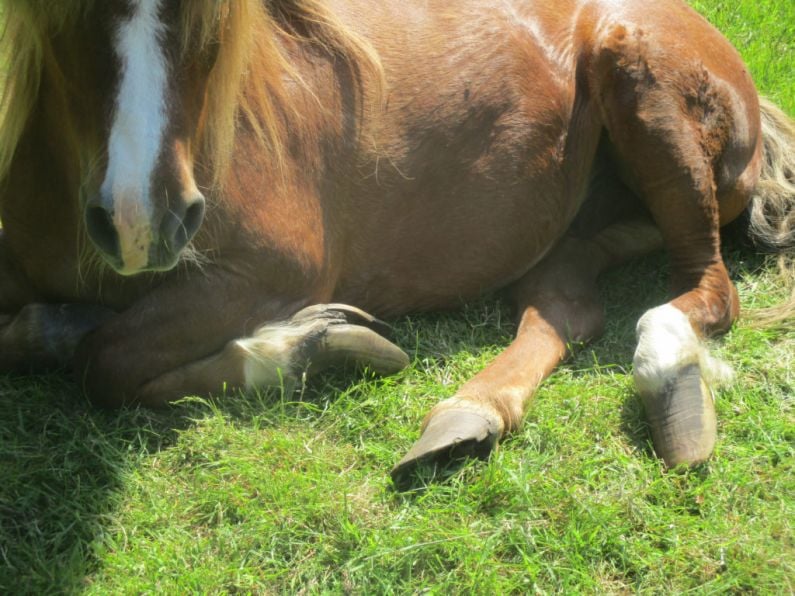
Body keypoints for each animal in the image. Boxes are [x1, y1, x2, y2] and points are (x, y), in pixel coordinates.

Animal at [0, 0, 792, 484]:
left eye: (213, 22)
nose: (142, 221)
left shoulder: (268, 273)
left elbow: (106, 361)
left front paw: (307, 347)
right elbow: (47, 336)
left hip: (648, 98)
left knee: (708, 290)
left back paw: (671, 383)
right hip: (582, 226)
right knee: (566, 306)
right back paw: (466, 416)